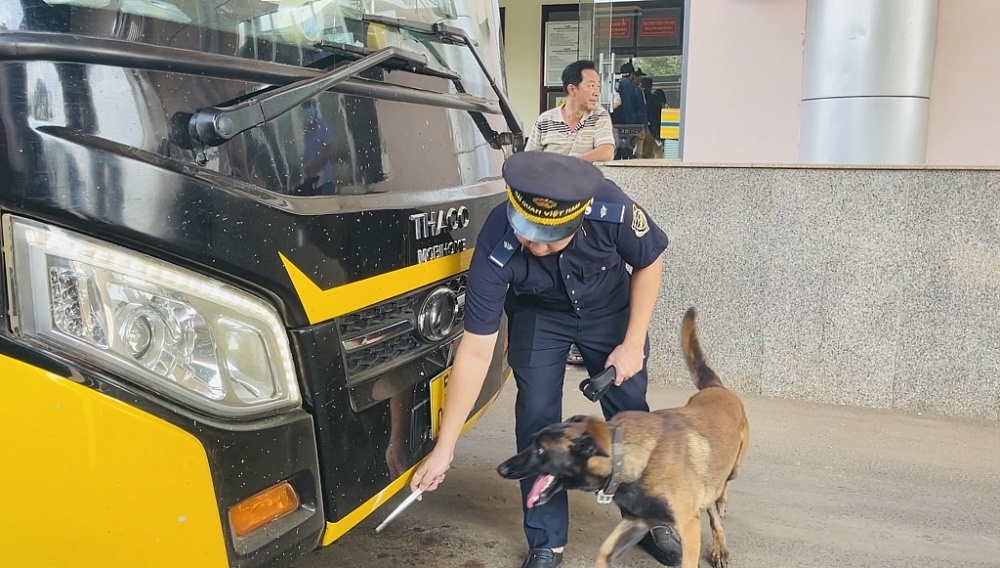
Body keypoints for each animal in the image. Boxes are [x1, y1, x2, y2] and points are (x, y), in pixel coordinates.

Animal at [496, 310, 748, 568]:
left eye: (540, 450)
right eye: (532, 442)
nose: (502, 468)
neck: (631, 457)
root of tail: (717, 389)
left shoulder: (688, 527)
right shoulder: (636, 521)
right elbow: (604, 553)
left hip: (731, 470)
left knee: (721, 494)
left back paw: (721, 523)